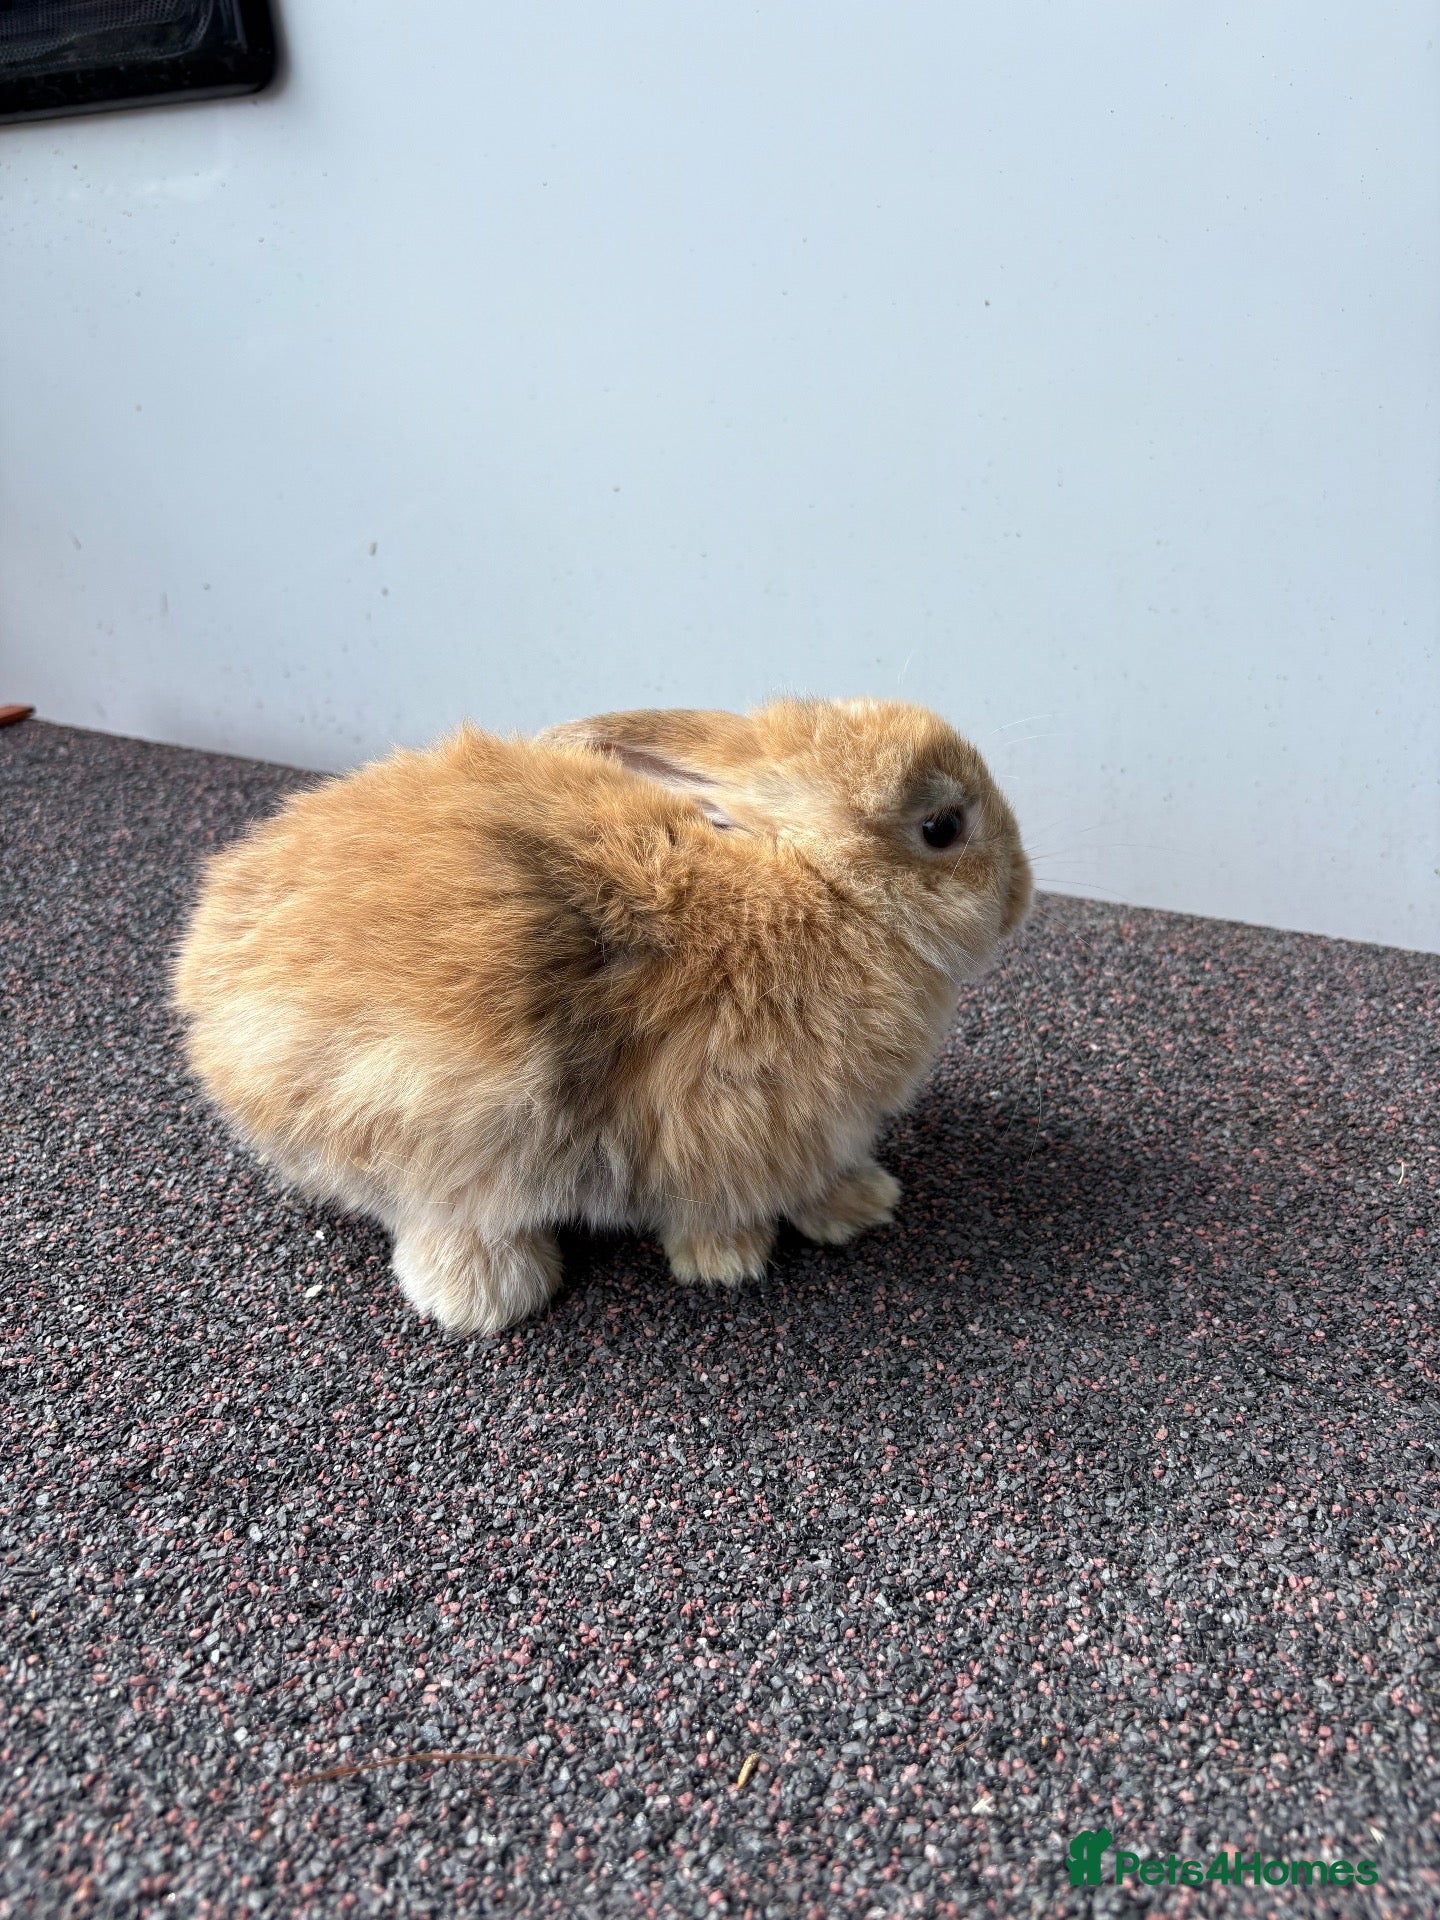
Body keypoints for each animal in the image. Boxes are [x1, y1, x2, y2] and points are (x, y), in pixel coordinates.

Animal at [171, 696, 1032, 1336]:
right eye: (943, 828)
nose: (1021, 898)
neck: (824, 888)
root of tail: (206, 991)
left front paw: (861, 1203)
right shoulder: (726, 1119)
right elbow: (722, 1203)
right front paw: (727, 1262)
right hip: (427, 1113)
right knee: (438, 1216)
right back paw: (487, 1296)